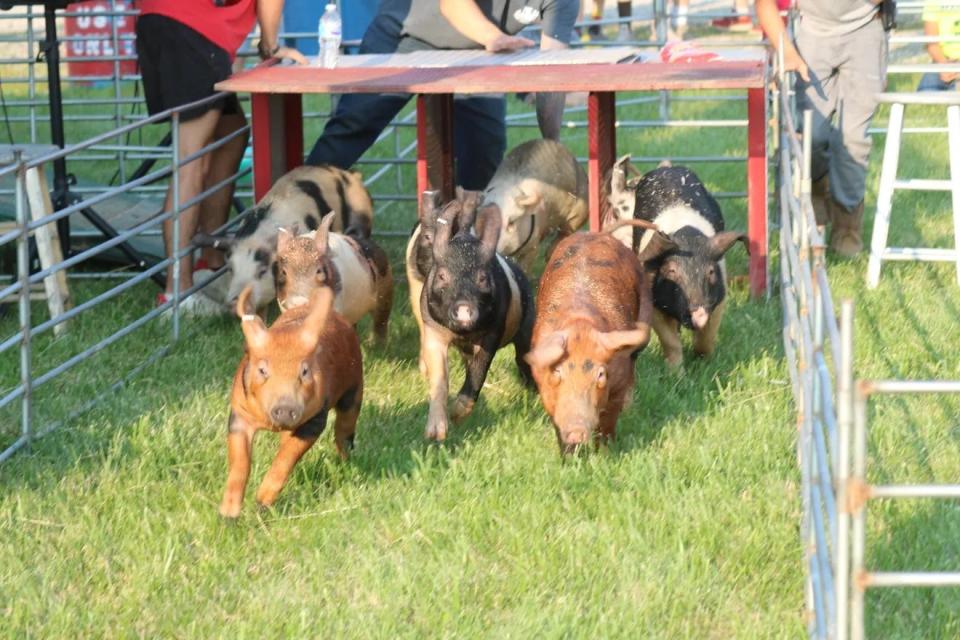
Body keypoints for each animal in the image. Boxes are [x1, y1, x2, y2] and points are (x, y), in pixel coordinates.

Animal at [219, 282, 362, 516]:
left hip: (354, 387)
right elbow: (240, 461)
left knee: (344, 431)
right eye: (262, 370)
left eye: (304, 371)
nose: (286, 408)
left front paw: (261, 503)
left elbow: (286, 457)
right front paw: (228, 516)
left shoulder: (315, 418)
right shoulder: (239, 414)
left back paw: (347, 464)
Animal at [422, 200, 536, 440]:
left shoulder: (493, 332)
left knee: (524, 360)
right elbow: (439, 376)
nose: (465, 308)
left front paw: (457, 415)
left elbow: (479, 370)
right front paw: (436, 434)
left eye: (483, 278)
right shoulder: (433, 330)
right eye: (442, 276)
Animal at [524, 232, 652, 452]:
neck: (580, 323)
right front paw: (568, 455)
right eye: (558, 372)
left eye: (600, 374)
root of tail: (595, 233)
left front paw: (605, 452)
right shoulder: (545, 389)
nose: (577, 431)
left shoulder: (618, 383)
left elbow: (608, 423)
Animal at [632, 164, 752, 364]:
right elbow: (670, 341)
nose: (699, 313)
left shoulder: (719, 297)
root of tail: (669, 167)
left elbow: (706, 338)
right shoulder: (653, 300)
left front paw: (704, 361)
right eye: (671, 270)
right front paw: (675, 370)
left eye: (711, 272)